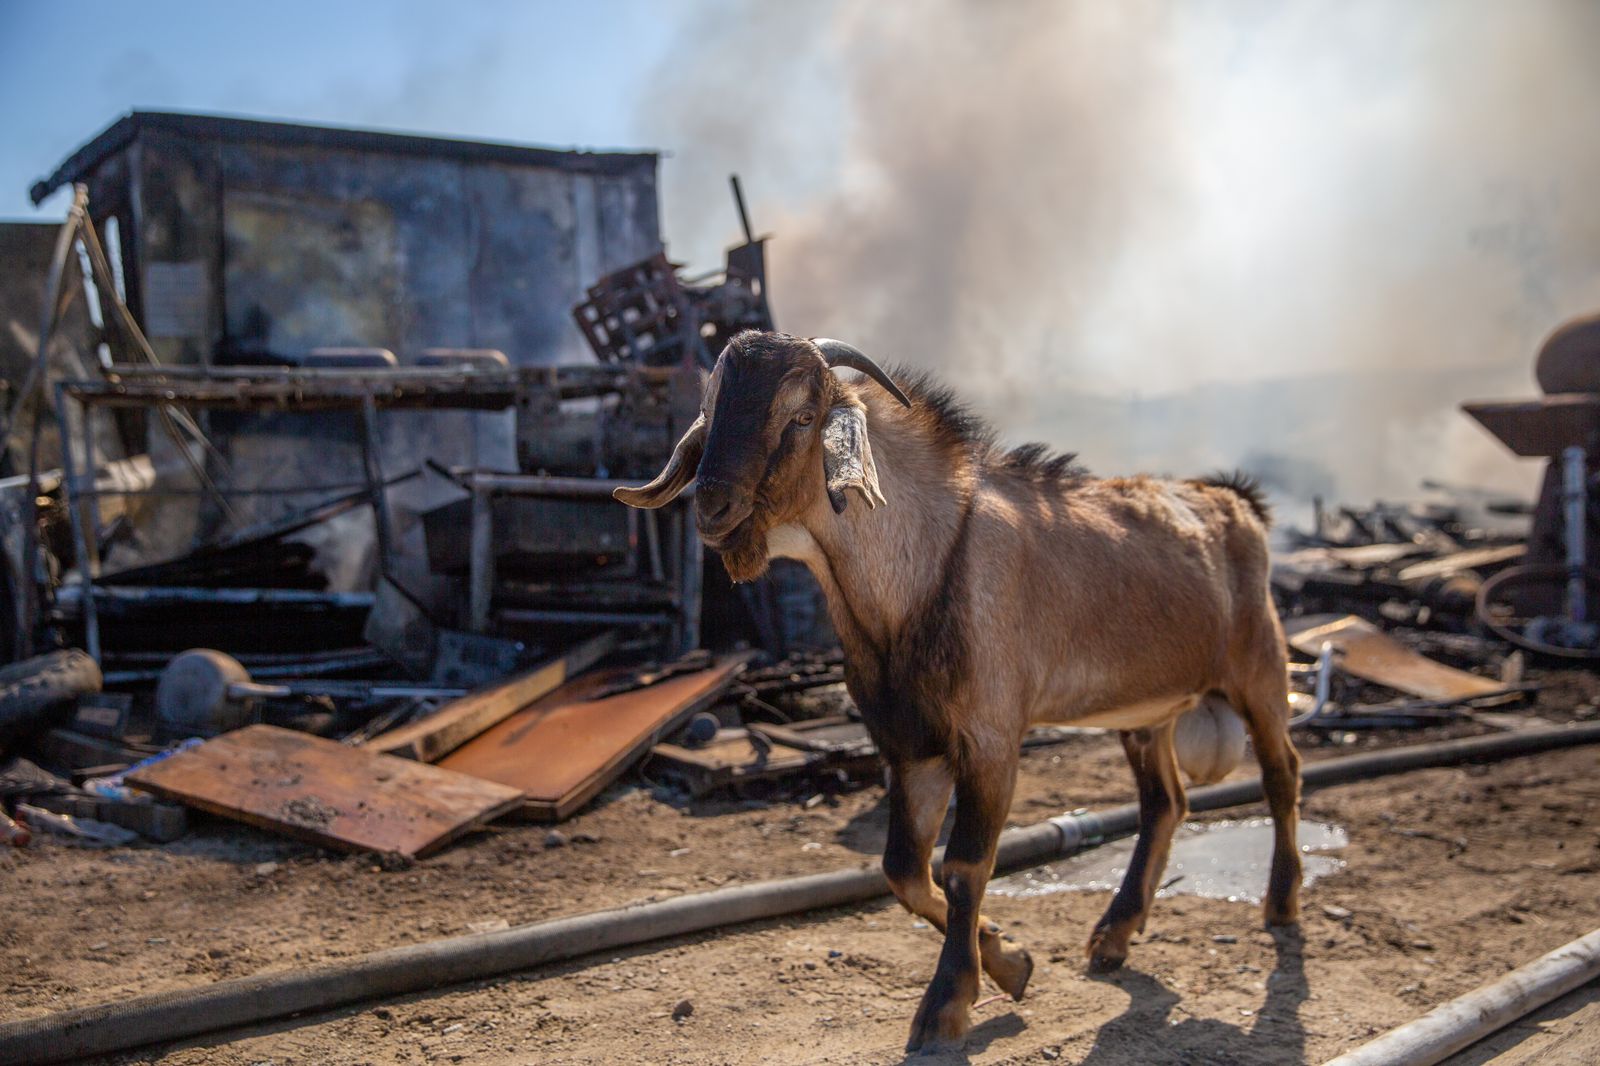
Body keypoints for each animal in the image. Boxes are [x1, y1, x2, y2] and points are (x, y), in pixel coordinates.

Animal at [611, 329, 1299, 1043]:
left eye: (801, 417)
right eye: (711, 410)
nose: (713, 507)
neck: (926, 565)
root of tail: (1238, 504)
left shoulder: (991, 740)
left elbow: (964, 866)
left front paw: (947, 1003)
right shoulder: (910, 746)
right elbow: (904, 872)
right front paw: (1011, 960)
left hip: (1260, 671)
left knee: (1282, 775)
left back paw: (1280, 906)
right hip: (1148, 712)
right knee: (1165, 803)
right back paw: (1113, 935)